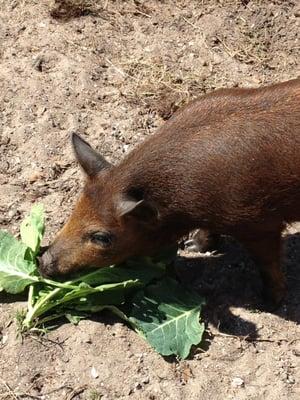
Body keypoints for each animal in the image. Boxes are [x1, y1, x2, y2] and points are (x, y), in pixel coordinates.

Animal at [39, 79, 300, 308]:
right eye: (73, 212)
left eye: (102, 237)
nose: (42, 263)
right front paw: (192, 247)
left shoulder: (261, 223)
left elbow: (268, 263)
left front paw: (268, 303)